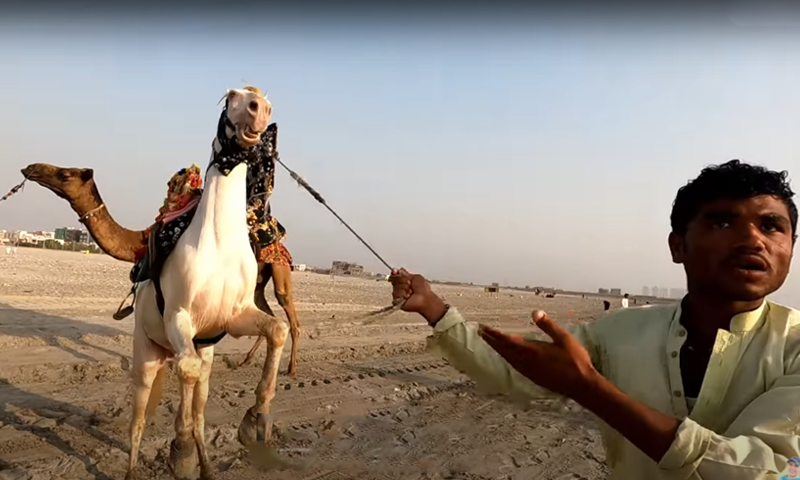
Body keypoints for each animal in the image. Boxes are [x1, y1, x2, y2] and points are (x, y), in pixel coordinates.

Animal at [22, 163, 304, 376]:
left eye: (65, 175)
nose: (31, 168)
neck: (142, 240)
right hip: (256, 283)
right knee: (267, 311)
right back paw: (245, 360)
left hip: (279, 270)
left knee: (290, 316)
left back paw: (291, 369)